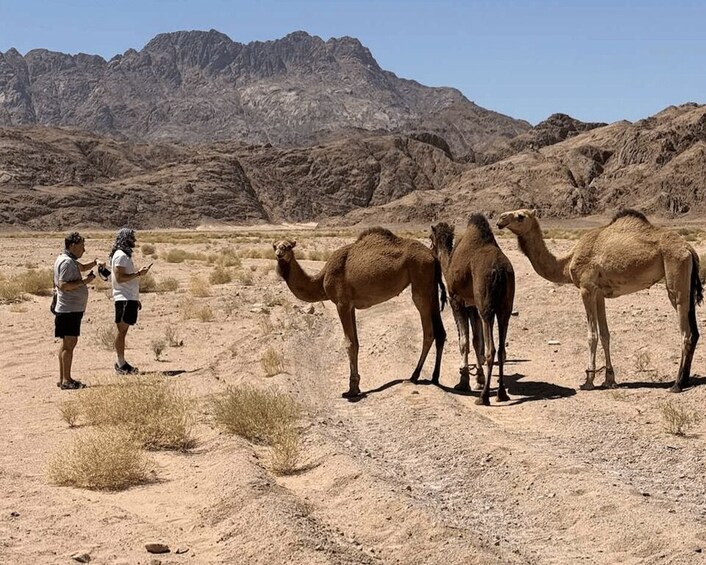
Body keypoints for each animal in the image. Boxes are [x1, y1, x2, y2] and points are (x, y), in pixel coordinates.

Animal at [273, 228, 446, 398]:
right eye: (275, 246)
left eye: (287, 246)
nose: (279, 254)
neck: (321, 280)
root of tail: (433, 256)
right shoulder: (350, 306)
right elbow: (355, 342)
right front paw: (356, 386)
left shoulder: (341, 303)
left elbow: (349, 344)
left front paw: (351, 390)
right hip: (431, 286)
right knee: (440, 332)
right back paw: (435, 377)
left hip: (420, 281)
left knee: (428, 332)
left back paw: (414, 376)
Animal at [430, 215, 516, 405]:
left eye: (430, 238)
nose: (431, 251)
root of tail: (500, 270)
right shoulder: (473, 306)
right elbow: (476, 341)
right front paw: (479, 379)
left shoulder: (457, 301)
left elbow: (464, 341)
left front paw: (464, 382)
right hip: (505, 307)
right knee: (501, 348)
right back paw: (501, 394)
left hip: (486, 307)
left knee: (492, 349)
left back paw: (484, 397)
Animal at [496, 208, 703, 392]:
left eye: (520, 216)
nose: (499, 220)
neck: (566, 262)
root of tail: (689, 248)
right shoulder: (599, 294)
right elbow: (605, 334)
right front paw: (609, 379)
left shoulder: (586, 288)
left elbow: (592, 335)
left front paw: (588, 380)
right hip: (687, 285)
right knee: (694, 331)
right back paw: (685, 380)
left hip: (675, 277)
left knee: (685, 332)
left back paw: (676, 385)